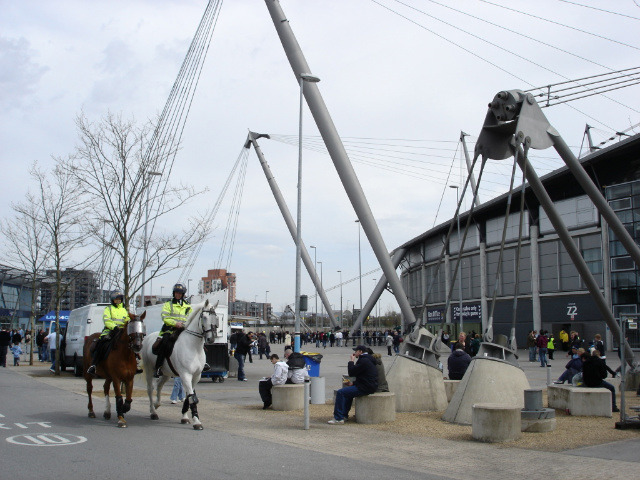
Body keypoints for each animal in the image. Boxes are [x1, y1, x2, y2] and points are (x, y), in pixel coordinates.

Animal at [141, 298, 219, 430]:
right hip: (149, 370)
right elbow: (192, 398)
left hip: (166, 373)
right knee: (150, 389)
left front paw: (185, 417)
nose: (211, 339)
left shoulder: (196, 376)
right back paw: (153, 412)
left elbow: (188, 397)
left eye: (215, 317)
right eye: (204, 317)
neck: (194, 347)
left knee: (159, 385)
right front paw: (197, 422)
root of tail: (148, 337)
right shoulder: (185, 375)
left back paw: (157, 404)